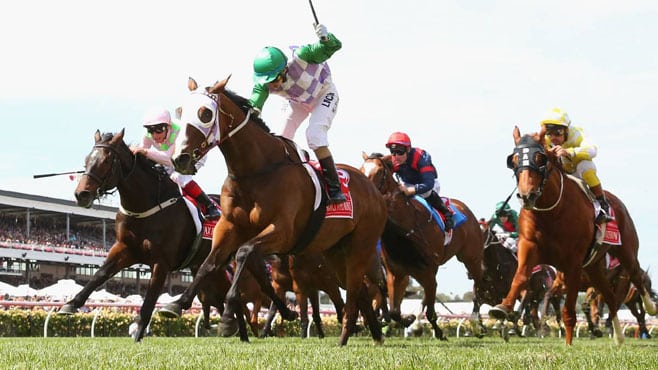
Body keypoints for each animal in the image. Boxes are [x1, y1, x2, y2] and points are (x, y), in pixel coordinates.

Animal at [160, 76, 384, 346]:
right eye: (180, 112)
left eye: (205, 113)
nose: (180, 158)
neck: (256, 170)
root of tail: (372, 188)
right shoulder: (229, 227)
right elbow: (209, 263)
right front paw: (177, 304)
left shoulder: (283, 231)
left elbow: (243, 253)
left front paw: (227, 317)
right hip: (335, 251)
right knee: (359, 290)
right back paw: (374, 334)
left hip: (360, 246)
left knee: (354, 289)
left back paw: (346, 336)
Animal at [358, 152, 482, 340]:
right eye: (360, 169)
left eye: (379, 171)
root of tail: (463, 207)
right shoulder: (396, 274)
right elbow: (394, 311)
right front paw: (408, 320)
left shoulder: (428, 271)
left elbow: (430, 312)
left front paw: (438, 332)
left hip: (471, 258)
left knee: (478, 289)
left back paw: (477, 324)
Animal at [490, 126, 652, 344]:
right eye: (513, 160)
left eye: (540, 158)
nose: (526, 195)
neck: (551, 213)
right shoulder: (530, 246)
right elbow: (521, 277)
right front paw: (503, 308)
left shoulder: (573, 263)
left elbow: (569, 311)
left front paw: (568, 344)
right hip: (594, 267)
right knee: (610, 297)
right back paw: (618, 338)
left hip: (626, 252)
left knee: (636, 278)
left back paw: (650, 307)